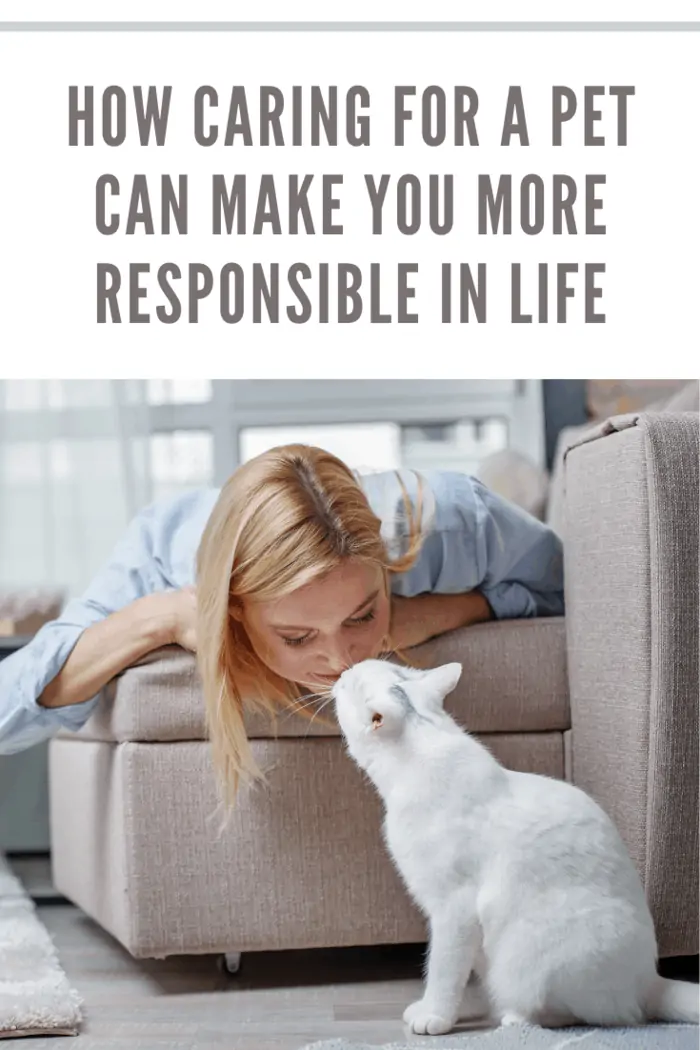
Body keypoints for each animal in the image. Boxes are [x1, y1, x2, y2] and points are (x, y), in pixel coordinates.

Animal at [333, 659, 700, 1037]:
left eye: (351, 684)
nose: (341, 675)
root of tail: (650, 980)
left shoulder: (454, 908)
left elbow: (443, 970)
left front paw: (434, 1015)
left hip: (532, 954)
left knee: (595, 1015)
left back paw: (516, 1018)